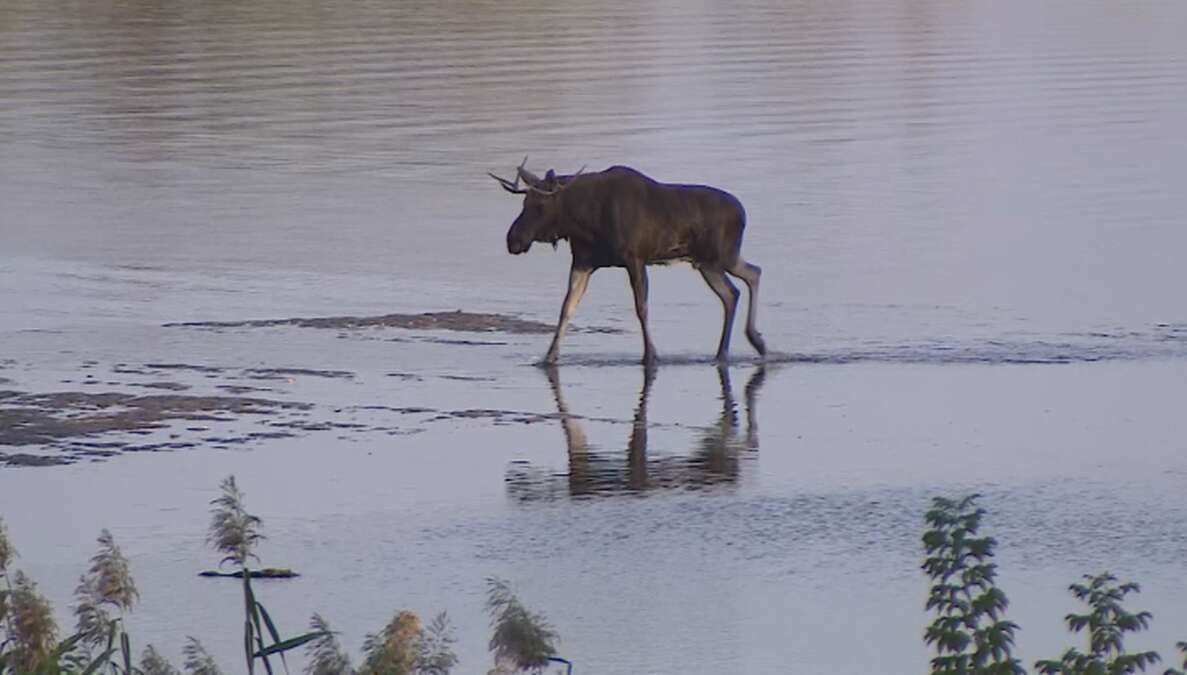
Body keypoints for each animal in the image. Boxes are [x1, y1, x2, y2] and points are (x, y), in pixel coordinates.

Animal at [491, 160, 769, 365]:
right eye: (524, 202)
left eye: (539, 204)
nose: (513, 240)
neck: (584, 219)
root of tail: (743, 213)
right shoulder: (583, 262)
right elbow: (566, 308)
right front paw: (549, 357)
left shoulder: (635, 258)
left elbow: (641, 307)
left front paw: (651, 355)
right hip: (707, 263)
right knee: (732, 292)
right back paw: (729, 350)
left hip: (722, 256)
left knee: (752, 274)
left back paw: (755, 342)